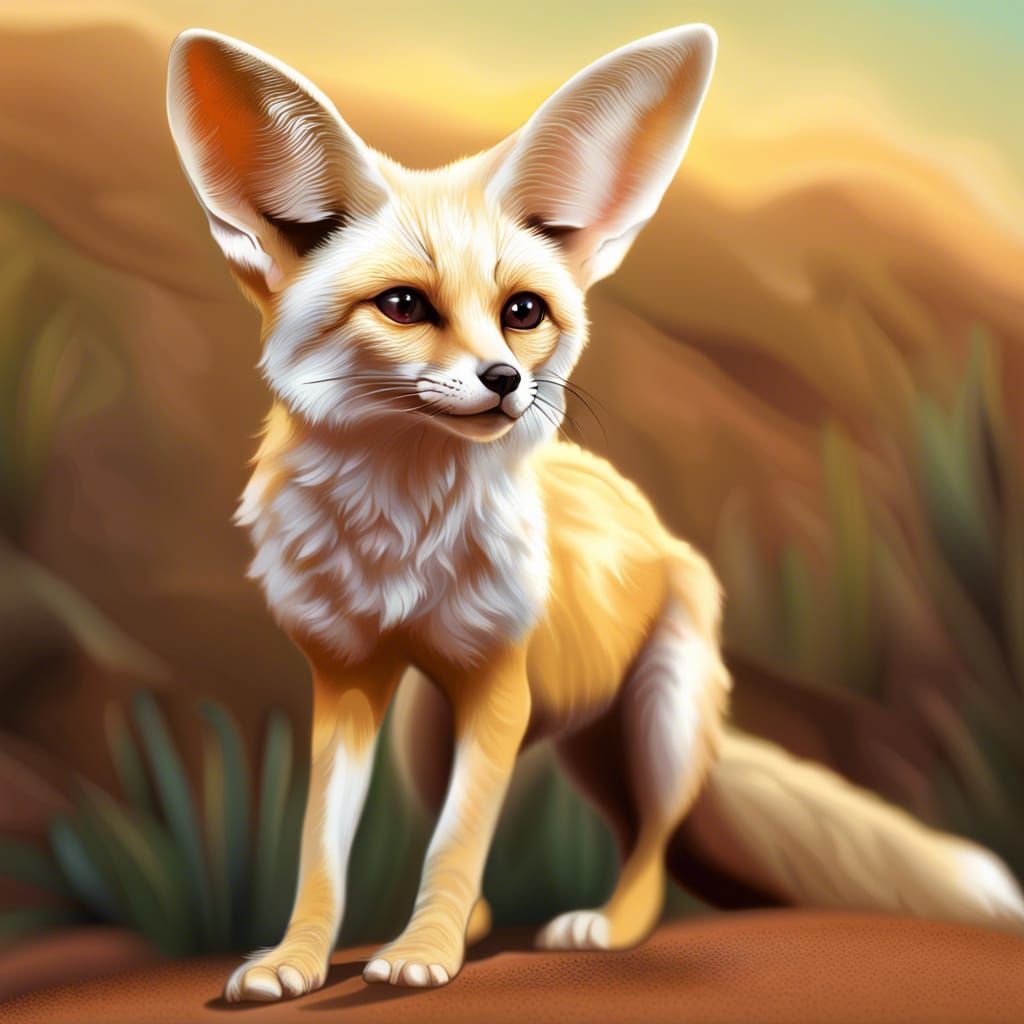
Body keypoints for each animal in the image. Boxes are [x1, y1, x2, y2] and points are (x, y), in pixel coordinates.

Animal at [166, 23, 1024, 1002]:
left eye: (522, 311)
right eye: (405, 305)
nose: (506, 381)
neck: (401, 534)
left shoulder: (496, 682)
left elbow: (456, 843)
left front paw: (426, 953)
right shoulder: (346, 676)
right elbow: (323, 851)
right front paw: (296, 960)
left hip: (656, 723)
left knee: (648, 841)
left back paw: (605, 924)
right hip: (441, 734)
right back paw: (481, 924)